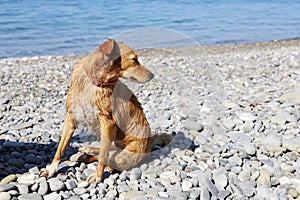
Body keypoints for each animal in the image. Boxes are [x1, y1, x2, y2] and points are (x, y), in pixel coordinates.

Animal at [39, 39, 171, 183]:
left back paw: (90, 156)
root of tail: (149, 141)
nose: (153, 75)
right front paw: (51, 169)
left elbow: (103, 154)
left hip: (124, 155)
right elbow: (60, 148)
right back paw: (86, 152)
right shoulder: (71, 118)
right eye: (134, 60)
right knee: (108, 150)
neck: (95, 82)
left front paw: (97, 175)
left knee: (110, 157)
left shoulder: (108, 122)